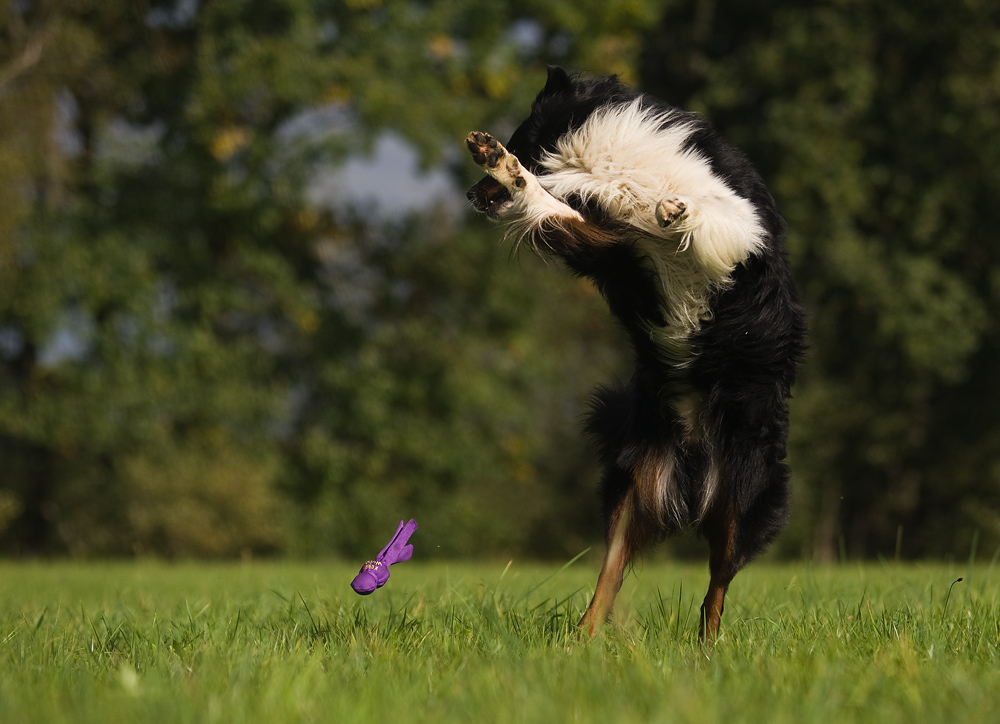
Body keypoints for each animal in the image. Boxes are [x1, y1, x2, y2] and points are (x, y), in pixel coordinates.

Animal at [466, 68, 804, 640]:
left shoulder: (740, 225)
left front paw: (675, 209)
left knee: (717, 586)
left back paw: (707, 648)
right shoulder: (611, 242)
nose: (470, 194)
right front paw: (509, 173)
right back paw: (582, 641)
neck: (606, 160)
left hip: (747, 497)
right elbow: (548, 205)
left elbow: (706, 214)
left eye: (521, 134)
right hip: (630, 489)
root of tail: (693, 452)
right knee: (612, 574)